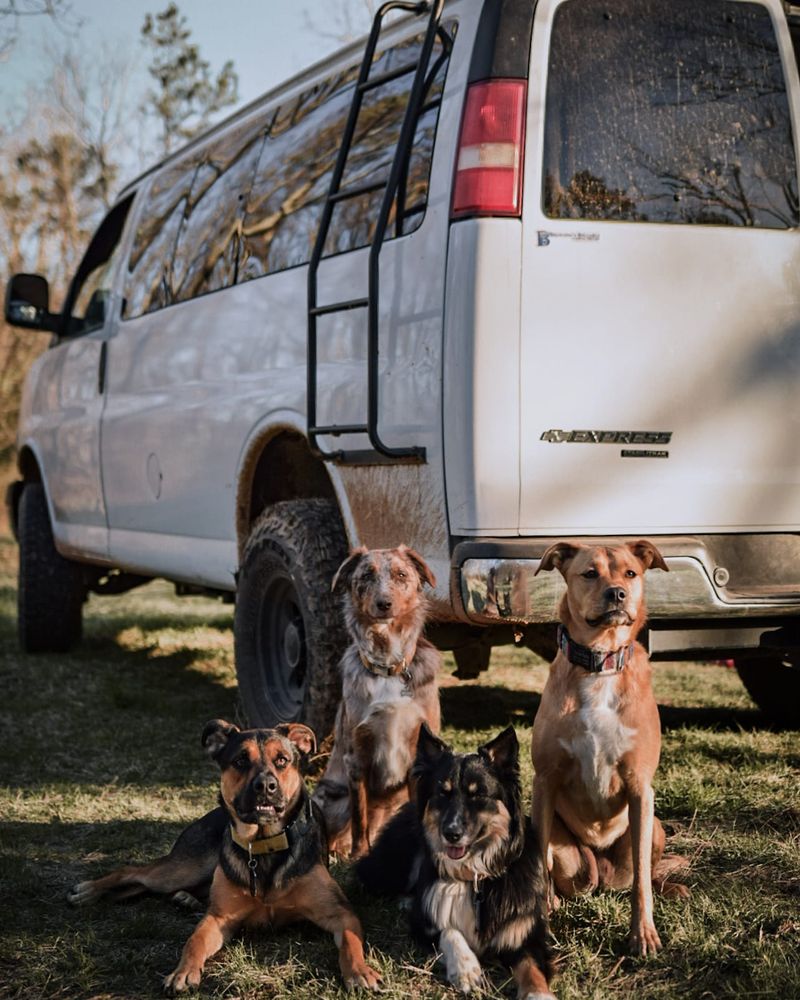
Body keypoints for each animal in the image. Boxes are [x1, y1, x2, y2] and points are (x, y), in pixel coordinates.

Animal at [69, 724, 382, 996]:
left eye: (282, 760)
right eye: (240, 760)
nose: (265, 785)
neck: (263, 847)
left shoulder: (340, 913)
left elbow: (351, 942)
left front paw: (360, 972)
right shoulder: (220, 919)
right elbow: (194, 941)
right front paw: (182, 972)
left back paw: (184, 898)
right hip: (185, 866)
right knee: (134, 872)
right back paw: (90, 890)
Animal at [312, 548, 440, 860]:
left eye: (401, 574)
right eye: (366, 576)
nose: (384, 604)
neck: (387, 667)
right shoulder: (356, 756)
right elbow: (360, 817)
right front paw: (360, 854)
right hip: (332, 799)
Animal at [358, 728, 556, 1000]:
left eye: (478, 794)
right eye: (443, 792)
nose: (451, 833)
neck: (475, 877)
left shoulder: (527, 934)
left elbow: (532, 968)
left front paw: (539, 994)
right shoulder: (424, 924)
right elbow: (448, 930)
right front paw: (466, 969)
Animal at [532, 544, 688, 956]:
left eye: (630, 573)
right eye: (590, 573)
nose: (617, 593)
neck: (599, 664)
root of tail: (601, 876)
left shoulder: (640, 788)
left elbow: (642, 882)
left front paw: (643, 934)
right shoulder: (544, 782)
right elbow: (536, 865)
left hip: (654, 826)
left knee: (645, 873)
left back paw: (670, 887)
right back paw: (554, 901)